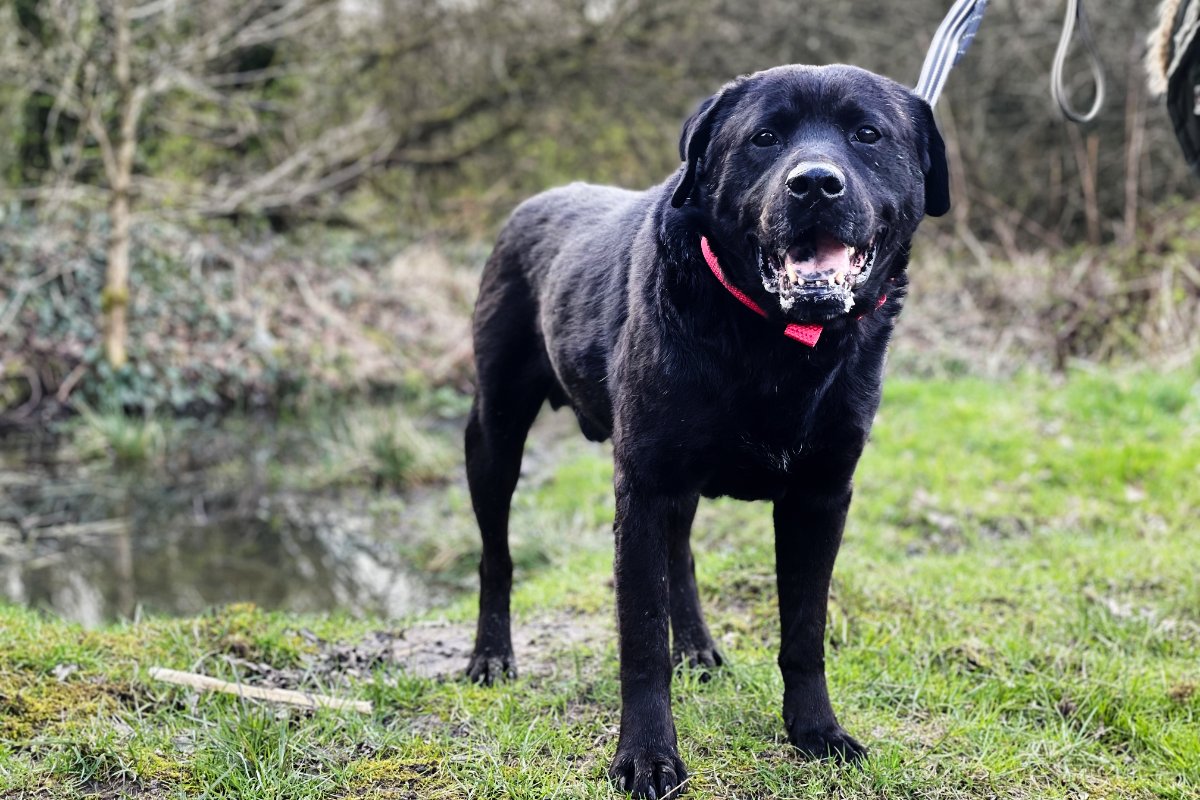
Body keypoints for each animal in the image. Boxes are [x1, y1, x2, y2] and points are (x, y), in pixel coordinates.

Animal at [465, 65, 945, 796]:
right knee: (497, 554)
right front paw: (645, 757)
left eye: (868, 134)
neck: (774, 342)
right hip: (493, 436)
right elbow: (641, 640)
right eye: (765, 137)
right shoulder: (643, 488)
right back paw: (492, 656)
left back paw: (696, 645)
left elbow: (804, 631)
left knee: (682, 557)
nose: (814, 184)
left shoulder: (821, 496)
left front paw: (817, 732)